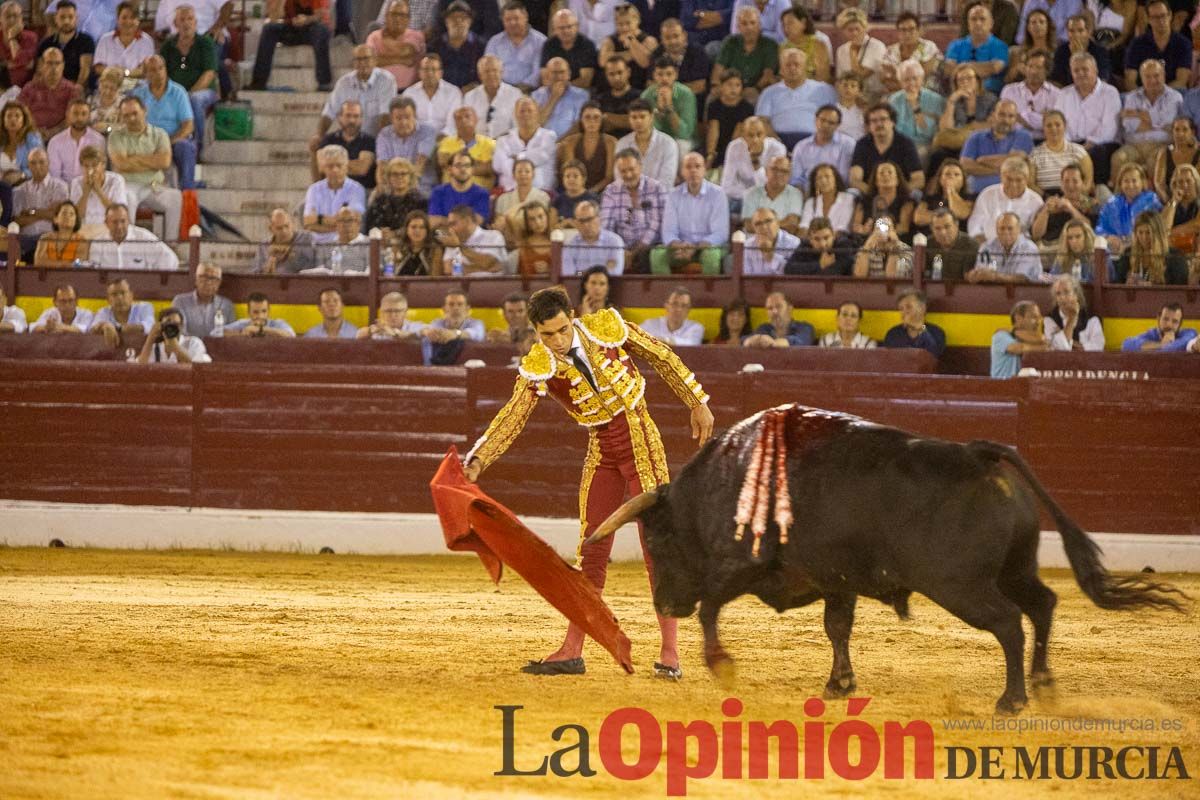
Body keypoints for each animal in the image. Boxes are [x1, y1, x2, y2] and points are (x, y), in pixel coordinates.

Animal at [585, 407, 1185, 714]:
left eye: (660, 540)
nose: (664, 602)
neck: (718, 486)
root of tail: (979, 454)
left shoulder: (742, 568)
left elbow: (712, 607)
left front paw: (722, 666)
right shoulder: (837, 580)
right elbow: (837, 628)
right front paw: (839, 685)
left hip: (961, 585)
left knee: (1010, 623)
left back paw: (1011, 699)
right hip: (1013, 569)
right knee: (1043, 605)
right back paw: (1042, 683)